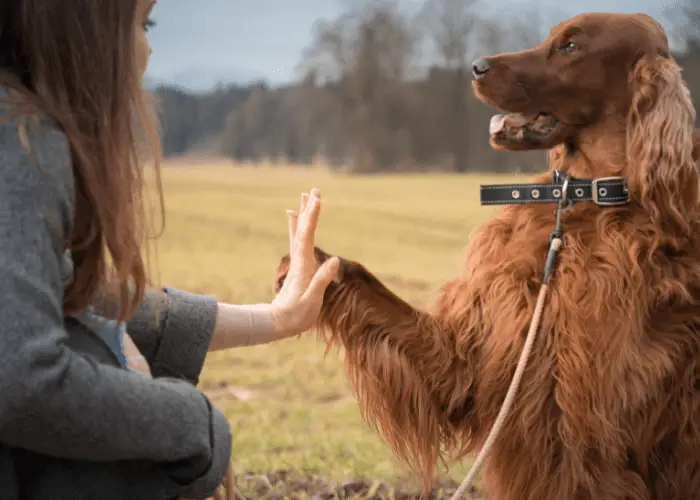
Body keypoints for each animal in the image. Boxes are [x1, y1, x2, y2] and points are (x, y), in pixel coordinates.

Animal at [276, 11, 700, 500]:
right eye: (551, 36)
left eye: (571, 46)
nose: (476, 66)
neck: (581, 203)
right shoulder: (471, 361)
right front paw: (309, 266)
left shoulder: (591, 431)